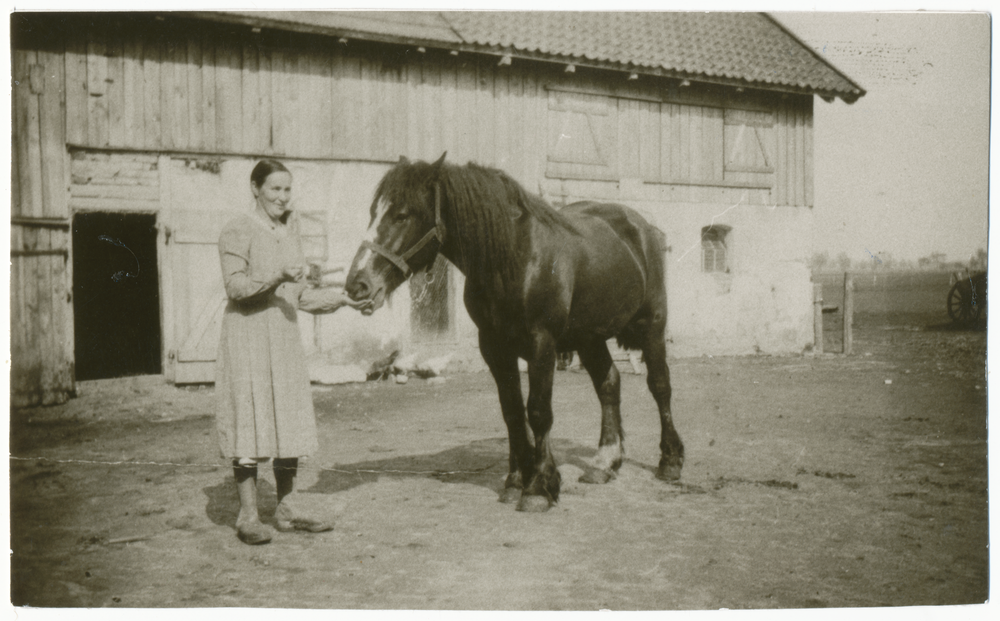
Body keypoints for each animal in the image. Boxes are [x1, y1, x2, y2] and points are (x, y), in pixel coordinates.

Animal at [348, 153, 684, 512]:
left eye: (402, 215)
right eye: (373, 212)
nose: (357, 284)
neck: (515, 257)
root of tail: (641, 226)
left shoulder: (542, 343)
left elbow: (538, 411)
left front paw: (539, 487)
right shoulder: (494, 346)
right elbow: (511, 411)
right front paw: (517, 480)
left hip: (652, 326)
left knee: (660, 386)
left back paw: (670, 461)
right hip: (589, 338)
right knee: (609, 384)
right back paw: (604, 462)